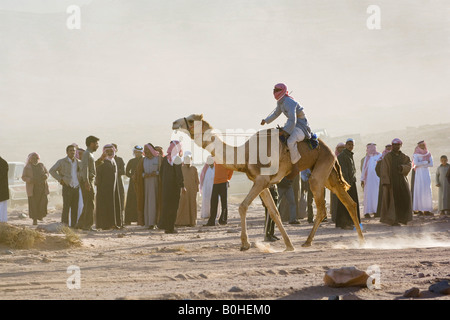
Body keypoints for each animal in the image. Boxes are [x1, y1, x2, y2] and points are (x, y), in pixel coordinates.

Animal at [171, 114, 364, 251]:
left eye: (190, 119)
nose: (174, 122)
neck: (244, 154)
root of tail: (331, 150)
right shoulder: (262, 184)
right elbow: (274, 212)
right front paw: (288, 245)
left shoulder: (261, 180)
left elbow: (243, 206)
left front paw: (245, 244)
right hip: (329, 174)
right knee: (350, 202)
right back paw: (362, 241)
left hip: (320, 172)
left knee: (323, 207)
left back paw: (308, 242)